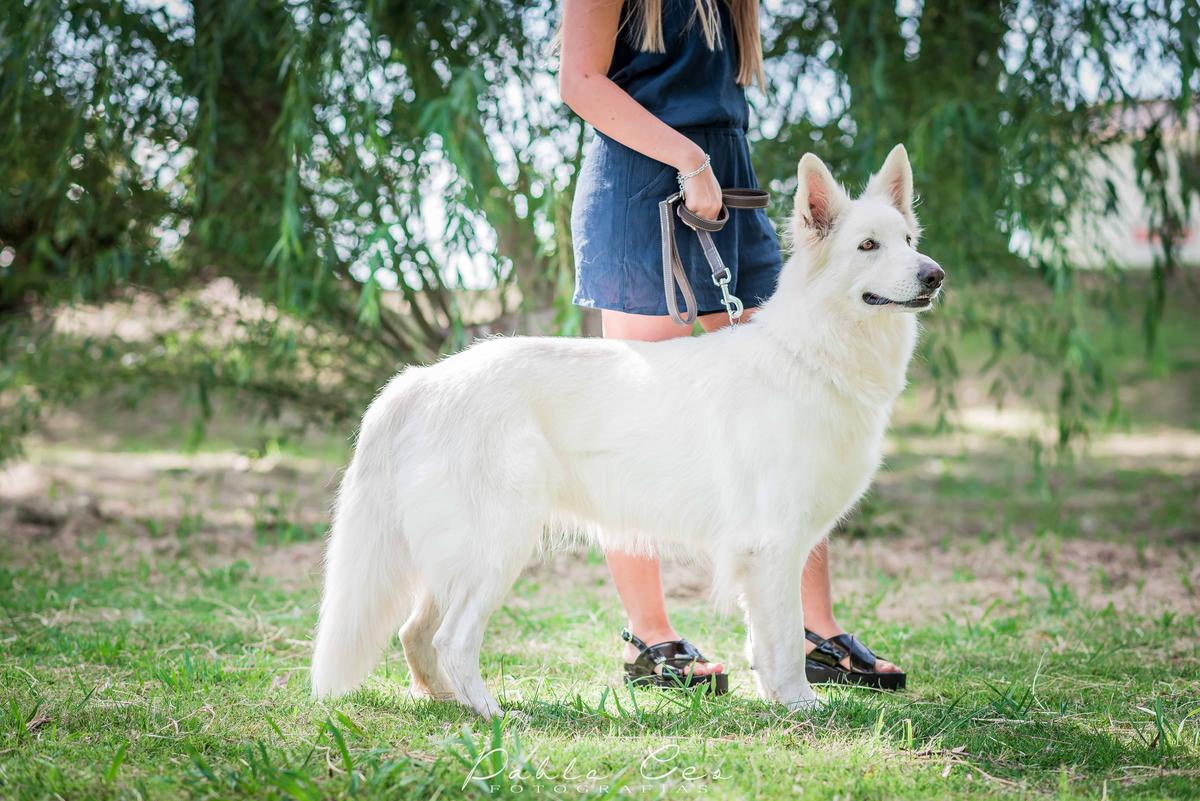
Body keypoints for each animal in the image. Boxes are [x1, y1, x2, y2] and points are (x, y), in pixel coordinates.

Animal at [312, 145, 945, 719]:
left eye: (909, 241)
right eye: (867, 246)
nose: (934, 275)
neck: (810, 352)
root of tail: (423, 380)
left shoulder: (773, 548)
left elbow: (765, 639)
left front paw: (777, 699)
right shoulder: (773, 544)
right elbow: (785, 638)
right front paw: (800, 705)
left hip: (453, 556)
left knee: (415, 632)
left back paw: (444, 701)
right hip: (497, 545)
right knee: (450, 639)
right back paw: (492, 715)